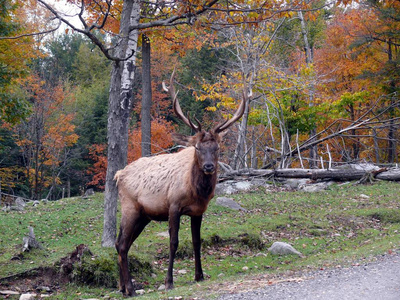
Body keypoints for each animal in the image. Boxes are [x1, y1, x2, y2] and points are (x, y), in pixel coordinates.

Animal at [113, 71, 250, 296]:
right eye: (197, 147)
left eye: (217, 148)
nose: (209, 166)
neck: (195, 192)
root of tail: (118, 175)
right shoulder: (174, 205)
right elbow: (174, 242)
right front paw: (169, 281)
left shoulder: (198, 211)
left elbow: (196, 241)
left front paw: (199, 276)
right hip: (129, 207)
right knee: (123, 244)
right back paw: (130, 289)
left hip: (144, 215)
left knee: (119, 243)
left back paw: (122, 287)